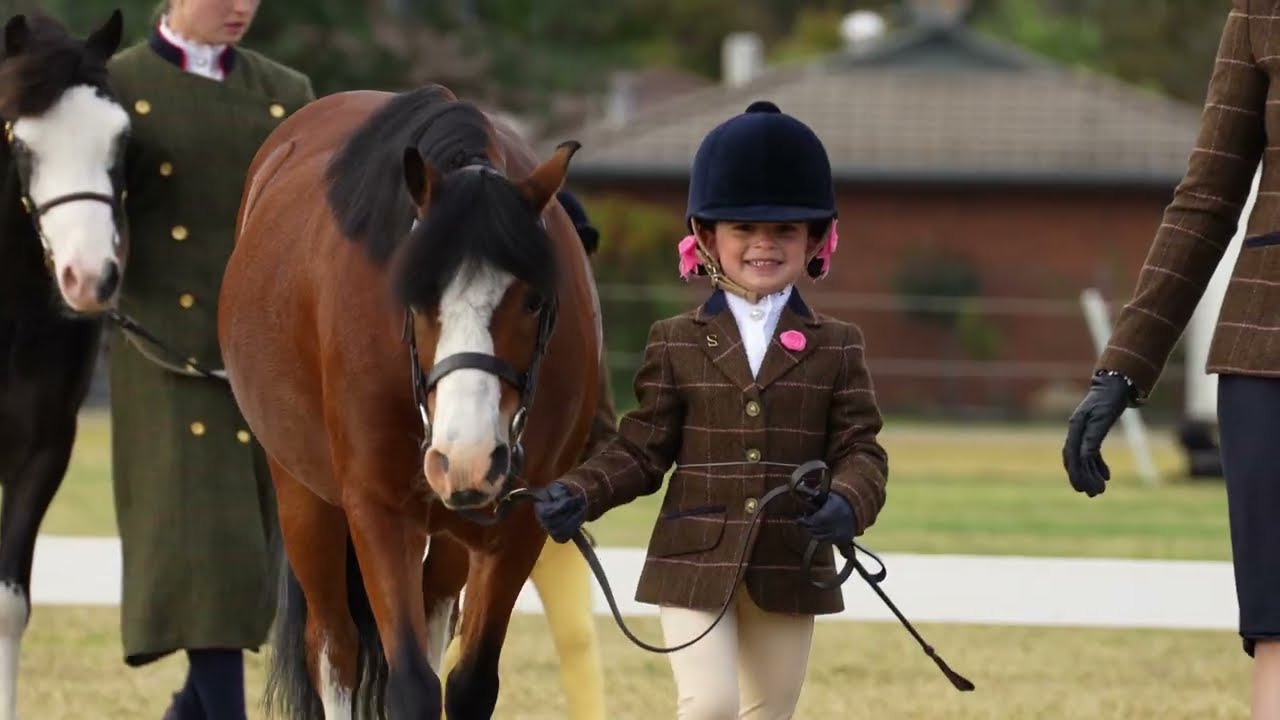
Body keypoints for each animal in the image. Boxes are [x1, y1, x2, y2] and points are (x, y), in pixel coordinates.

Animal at [218, 83, 602, 719]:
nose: (466, 458)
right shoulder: (379, 509)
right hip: (303, 497)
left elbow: (470, 683)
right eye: (412, 294)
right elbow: (410, 686)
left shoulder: (520, 523)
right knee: (335, 648)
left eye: (532, 299)